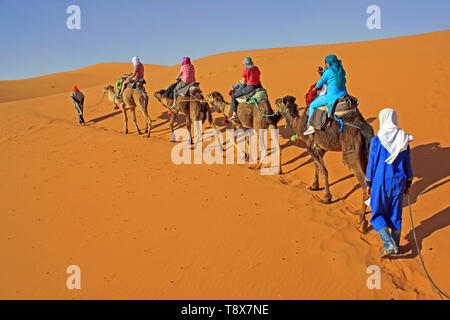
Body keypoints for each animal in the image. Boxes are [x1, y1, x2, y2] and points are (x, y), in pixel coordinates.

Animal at [276, 95, 374, 232]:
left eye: (280, 102)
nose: (275, 101)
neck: (298, 124)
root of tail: (362, 126)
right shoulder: (320, 148)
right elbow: (316, 166)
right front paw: (314, 186)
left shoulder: (310, 146)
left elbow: (324, 170)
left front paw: (327, 198)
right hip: (365, 152)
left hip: (350, 152)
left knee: (365, 184)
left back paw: (362, 222)